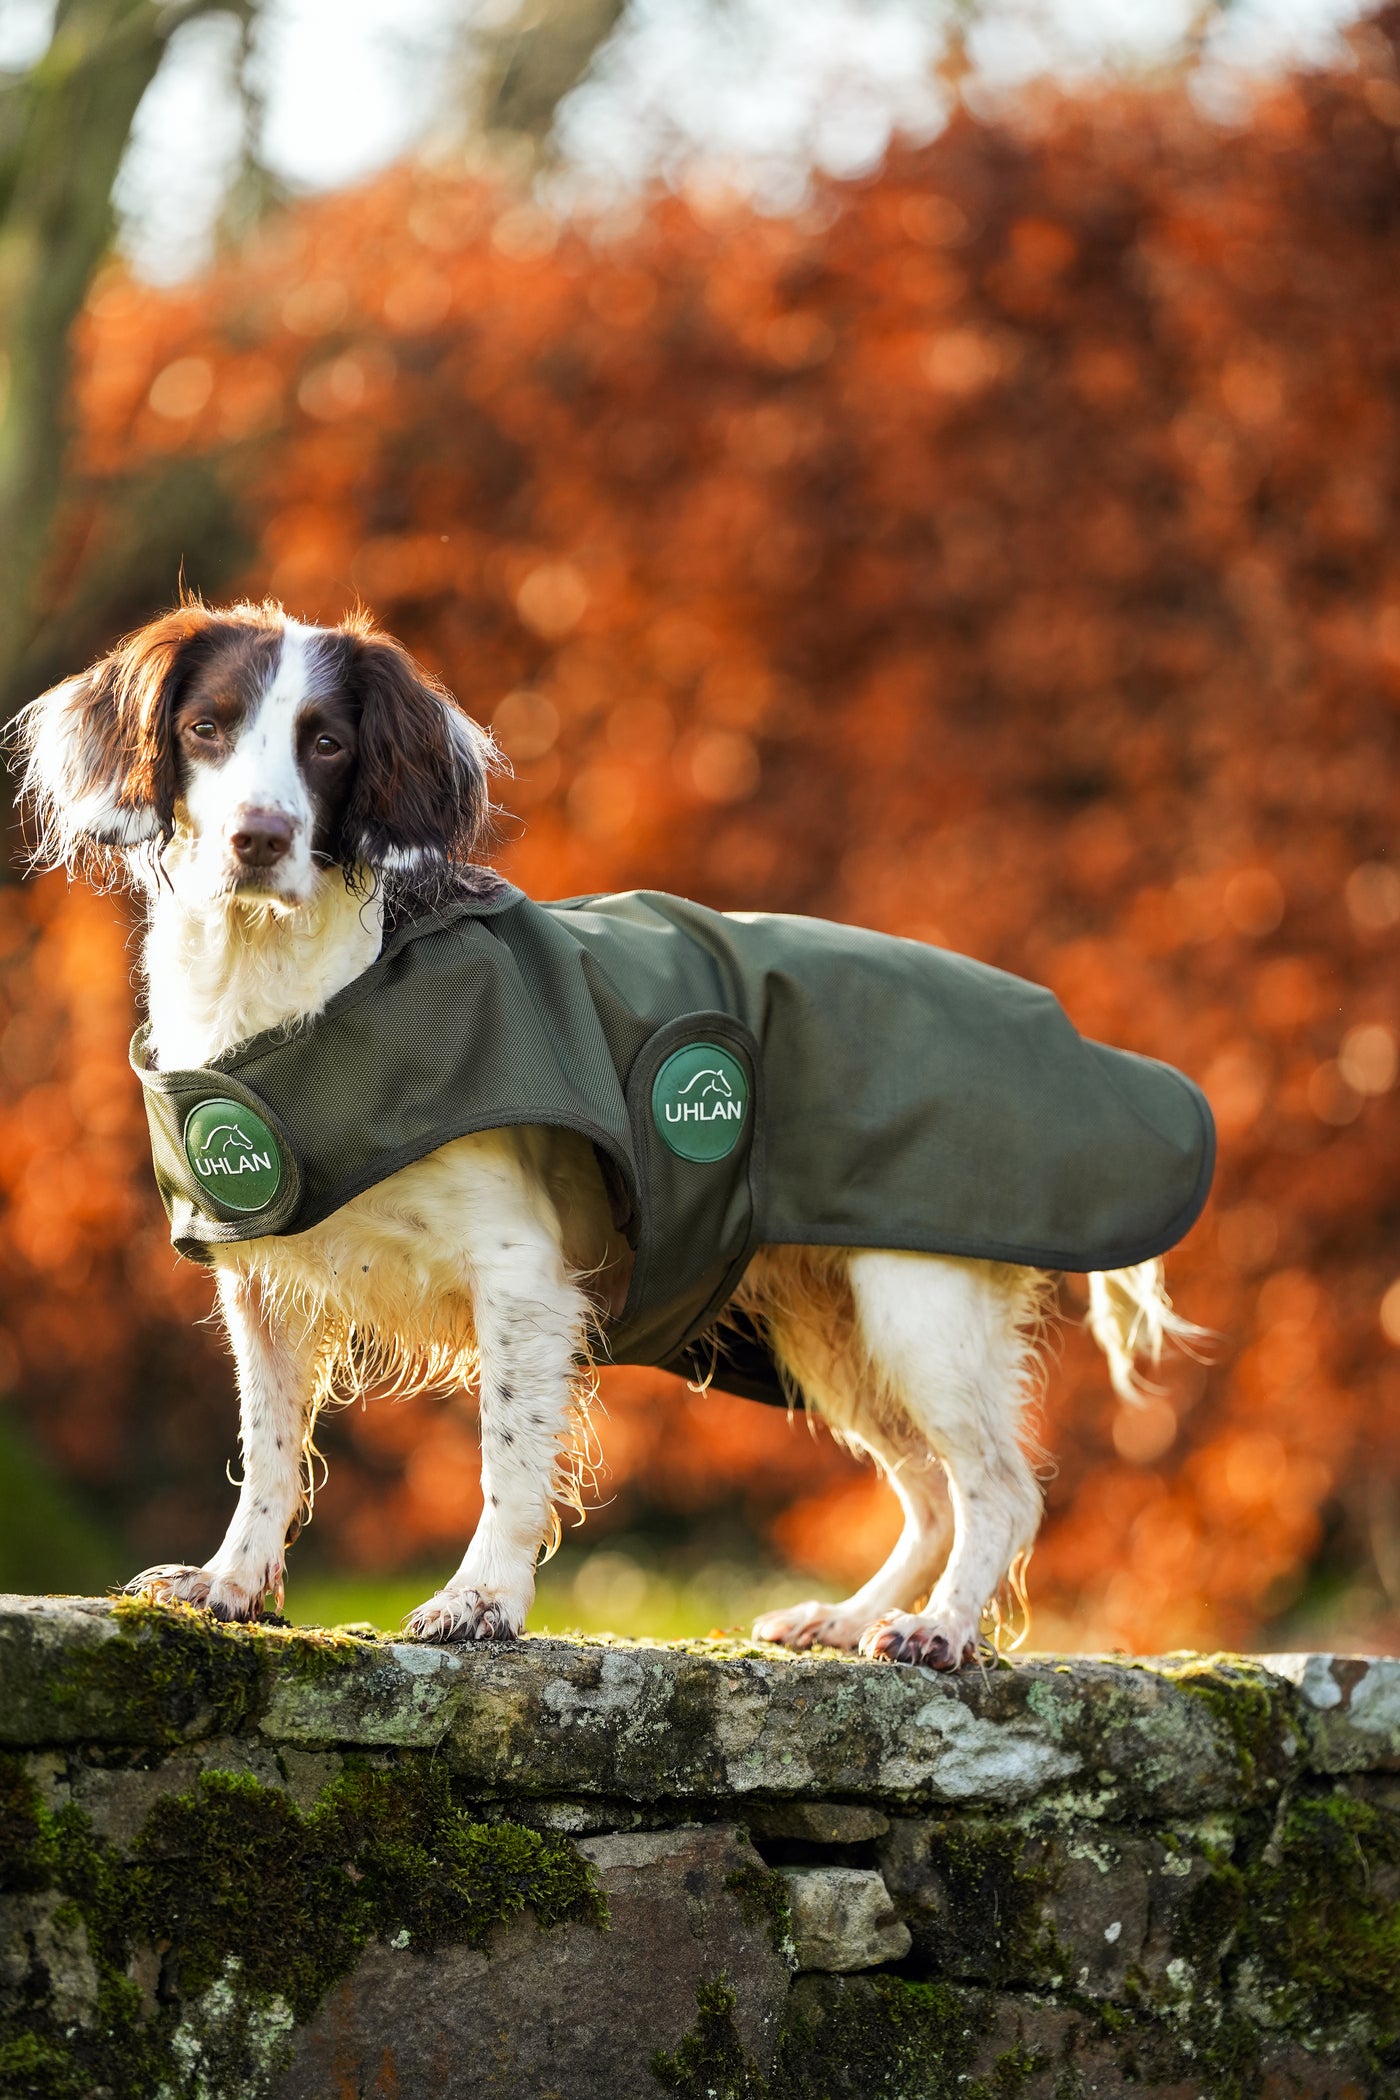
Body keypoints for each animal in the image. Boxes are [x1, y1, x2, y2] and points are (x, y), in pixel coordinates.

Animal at [13, 600, 1208, 1663]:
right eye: (207, 727)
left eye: (327, 741)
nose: (257, 840)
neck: (310, 994)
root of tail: (1081, 1045)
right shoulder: (265, 1284)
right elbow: (265, 1453)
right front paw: (230, 1584)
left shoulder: (522, 1275)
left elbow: (505, 1458)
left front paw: (481, 1602)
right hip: (830, 1327)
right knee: (926, 1492)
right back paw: (846, 1619)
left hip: (916, 1305)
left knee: (997, 1489)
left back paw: (939, 1632)